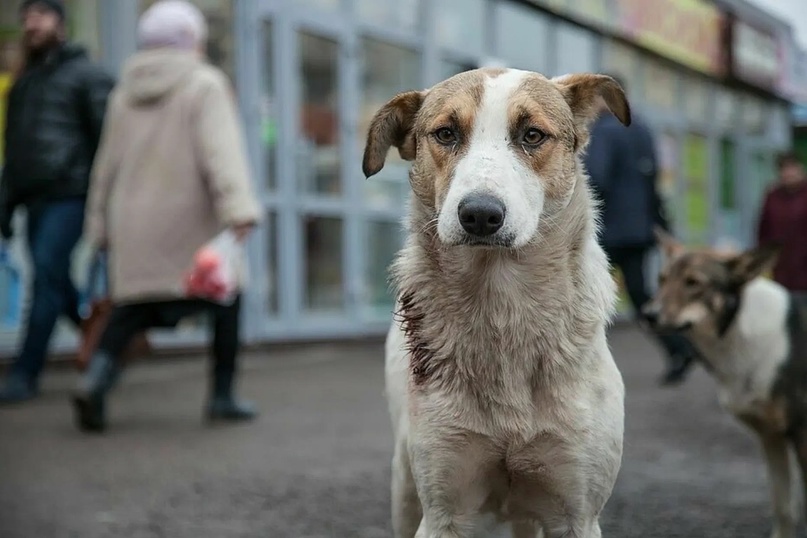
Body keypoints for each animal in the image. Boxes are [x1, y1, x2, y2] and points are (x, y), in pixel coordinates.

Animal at [364, 67, 632, 536]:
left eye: (532, 135)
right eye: (446, 133)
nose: (480, 215)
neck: (501, 304)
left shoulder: (577, 514)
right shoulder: (443, 512)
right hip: (404, 488)